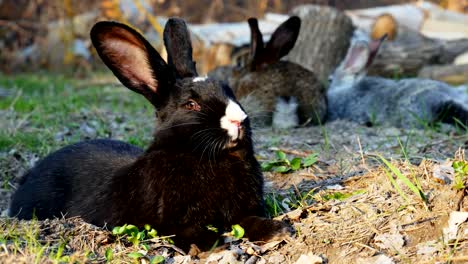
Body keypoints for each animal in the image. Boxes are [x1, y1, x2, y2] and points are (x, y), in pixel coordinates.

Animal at [8, 18, 292, 252]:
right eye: (191, 104)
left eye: (229, 90)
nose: (239, 120)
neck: (202, 155)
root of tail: (28, 177)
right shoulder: (172, 221)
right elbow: (186, 231)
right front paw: (212, 244)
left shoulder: (241, 213)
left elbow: (251, 222)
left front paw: (279, 230)